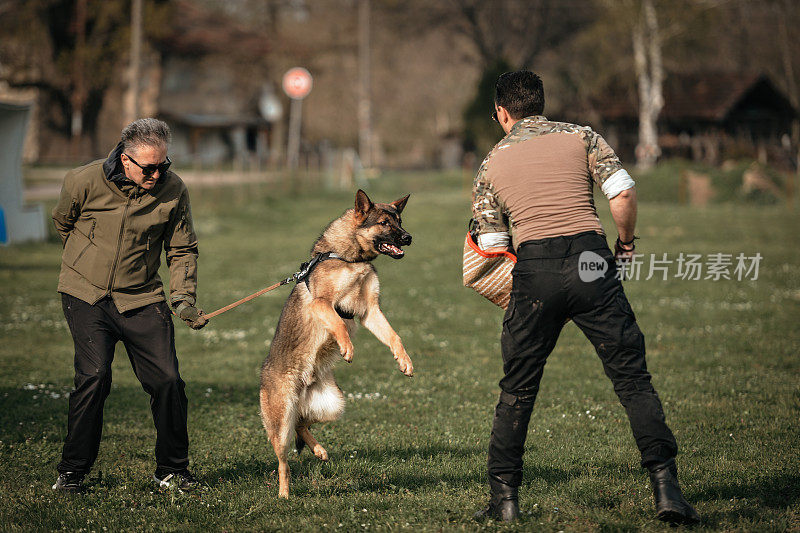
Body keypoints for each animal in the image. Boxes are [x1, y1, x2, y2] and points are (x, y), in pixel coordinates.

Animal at [260, 189, 416, 496]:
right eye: (384, 223)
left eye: (400, 221)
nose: (408, 238)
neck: (350, 258)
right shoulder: (322, 304)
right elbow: (337, 322)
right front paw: (347, 347)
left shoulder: (370, 311)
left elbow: (393, 335)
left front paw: (403, 360)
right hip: (281, 423)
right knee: (283, 461)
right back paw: (284, 494)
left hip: (332, 405)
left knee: (302, 423)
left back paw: (319, 450)